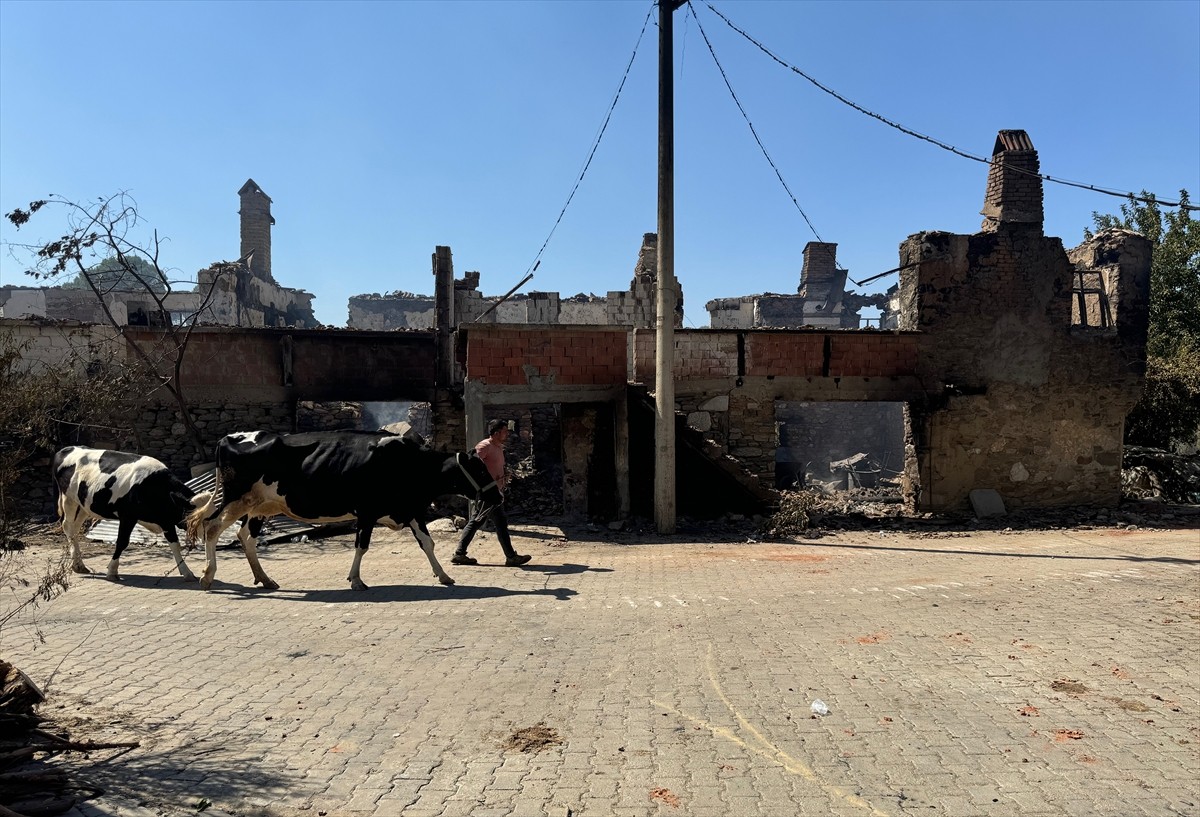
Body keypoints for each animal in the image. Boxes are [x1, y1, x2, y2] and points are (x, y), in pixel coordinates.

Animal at [52, 446, 204, 580]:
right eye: (194, 519)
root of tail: (67, 449)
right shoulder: (128, 516)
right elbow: (122, 542)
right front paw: (112, 571)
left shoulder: (166, 519)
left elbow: (175, 544)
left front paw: (187, 573)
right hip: (69, 499)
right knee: (68, 526)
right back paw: (78, 565)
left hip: (84, 504)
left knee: (75, 528)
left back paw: (79, 565)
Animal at [186, 429, 501, 590]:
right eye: (480, 470)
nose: (497, 496)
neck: (408, 463)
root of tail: (229, 437)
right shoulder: (368, 511)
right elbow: (362, 545)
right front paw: (356, 580)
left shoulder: (408, 509)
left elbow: (428, 543)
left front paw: (444, 575)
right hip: (235, 498)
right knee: (212, 527)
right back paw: (207, 576)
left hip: (260, 506)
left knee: (246, 538)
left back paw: (265, 579)